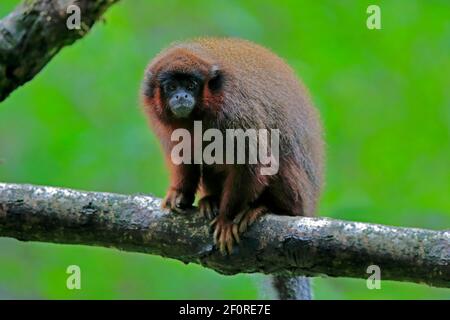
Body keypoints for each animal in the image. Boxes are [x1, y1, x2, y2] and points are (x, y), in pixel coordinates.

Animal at [141, 37, 324, 255]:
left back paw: (266, 208)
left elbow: (253, 163)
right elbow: (183, 153)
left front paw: (226, 219)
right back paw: (211, 199)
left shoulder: (235, 111)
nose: (181, 96)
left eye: (191, 85)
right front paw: (180, 192)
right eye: (172, 87)